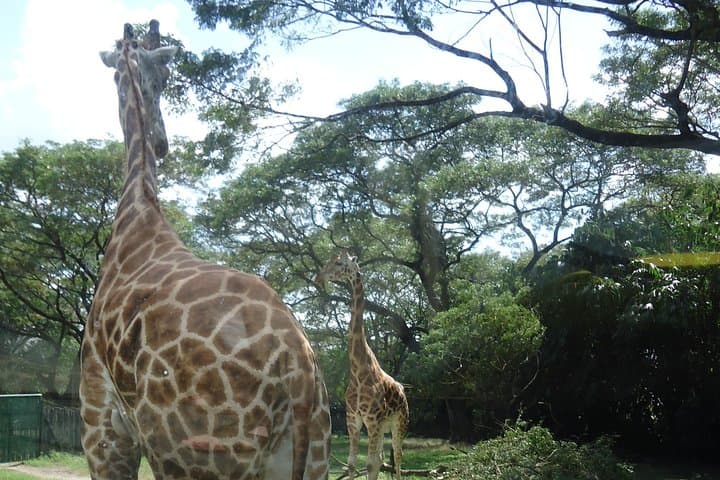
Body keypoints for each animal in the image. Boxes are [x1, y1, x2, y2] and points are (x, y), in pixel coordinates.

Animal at [79, 21, 331, 480]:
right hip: (311, 451)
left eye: (164, 80)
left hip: (187, 455)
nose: (161, 143)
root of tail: (297, 365)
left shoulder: (101, 427)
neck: (137, 217)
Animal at [315, 251, 409, 480]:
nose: (319, 278)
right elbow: (351, 464)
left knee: (398, 455)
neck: (358, 371)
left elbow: (369, 465)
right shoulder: (353, 420)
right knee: (384, 458)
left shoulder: (373, 420)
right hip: (382, 426)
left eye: (339, 263)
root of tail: (403, 390)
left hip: (399, 422)